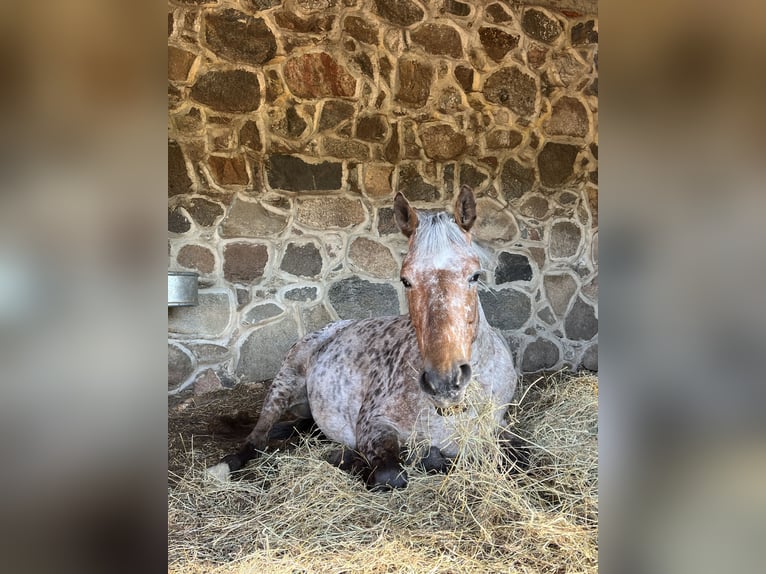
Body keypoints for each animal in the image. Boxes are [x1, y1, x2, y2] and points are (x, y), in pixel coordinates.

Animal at [210, 188, 520, 490]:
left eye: (475, 275)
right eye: (405, 280)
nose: (443, 382)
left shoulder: (500, 430)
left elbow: (517, 458)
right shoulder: (373, 425)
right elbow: (391, 474)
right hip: (282, 385)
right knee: (257, 438)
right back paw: (227, 465)